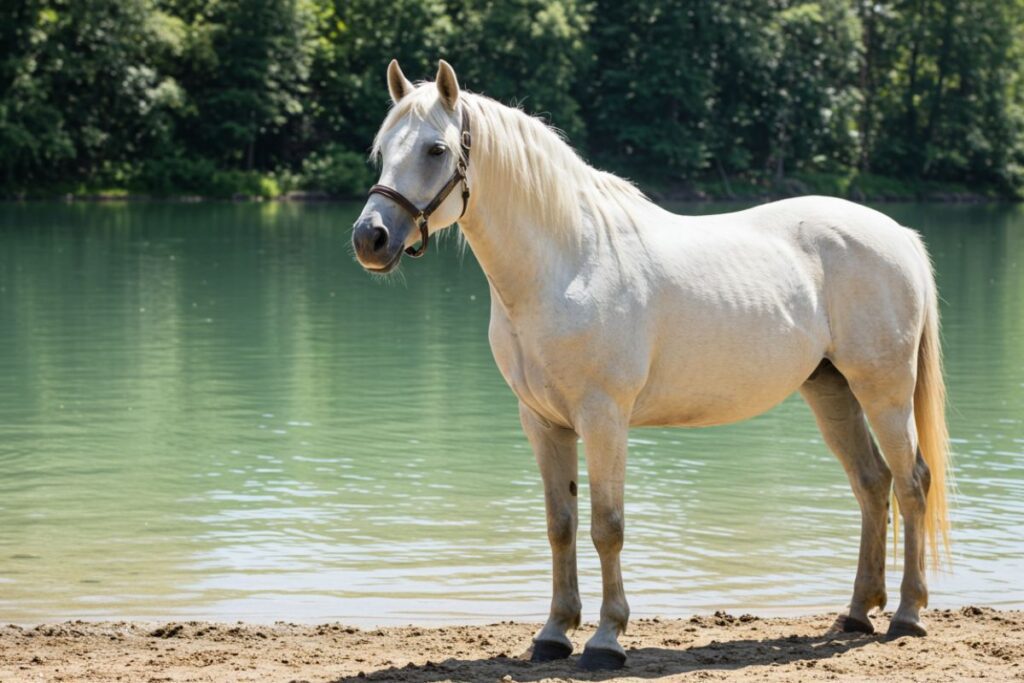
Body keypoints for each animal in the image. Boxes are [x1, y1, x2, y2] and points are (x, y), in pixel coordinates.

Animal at [352, 59, 951, 671]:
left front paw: (605, 640)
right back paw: (856, 612)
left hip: (884, 391)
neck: (570, 260)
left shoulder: (604, 418)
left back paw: (906, 615)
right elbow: (560, 525)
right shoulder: (542, 422)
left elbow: (606, 527)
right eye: (383, 149)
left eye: (436, 149)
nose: (370, 238)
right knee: (872, 484)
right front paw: (553, 634)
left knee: (911, 483)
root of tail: (898, 234)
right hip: (831, 390)